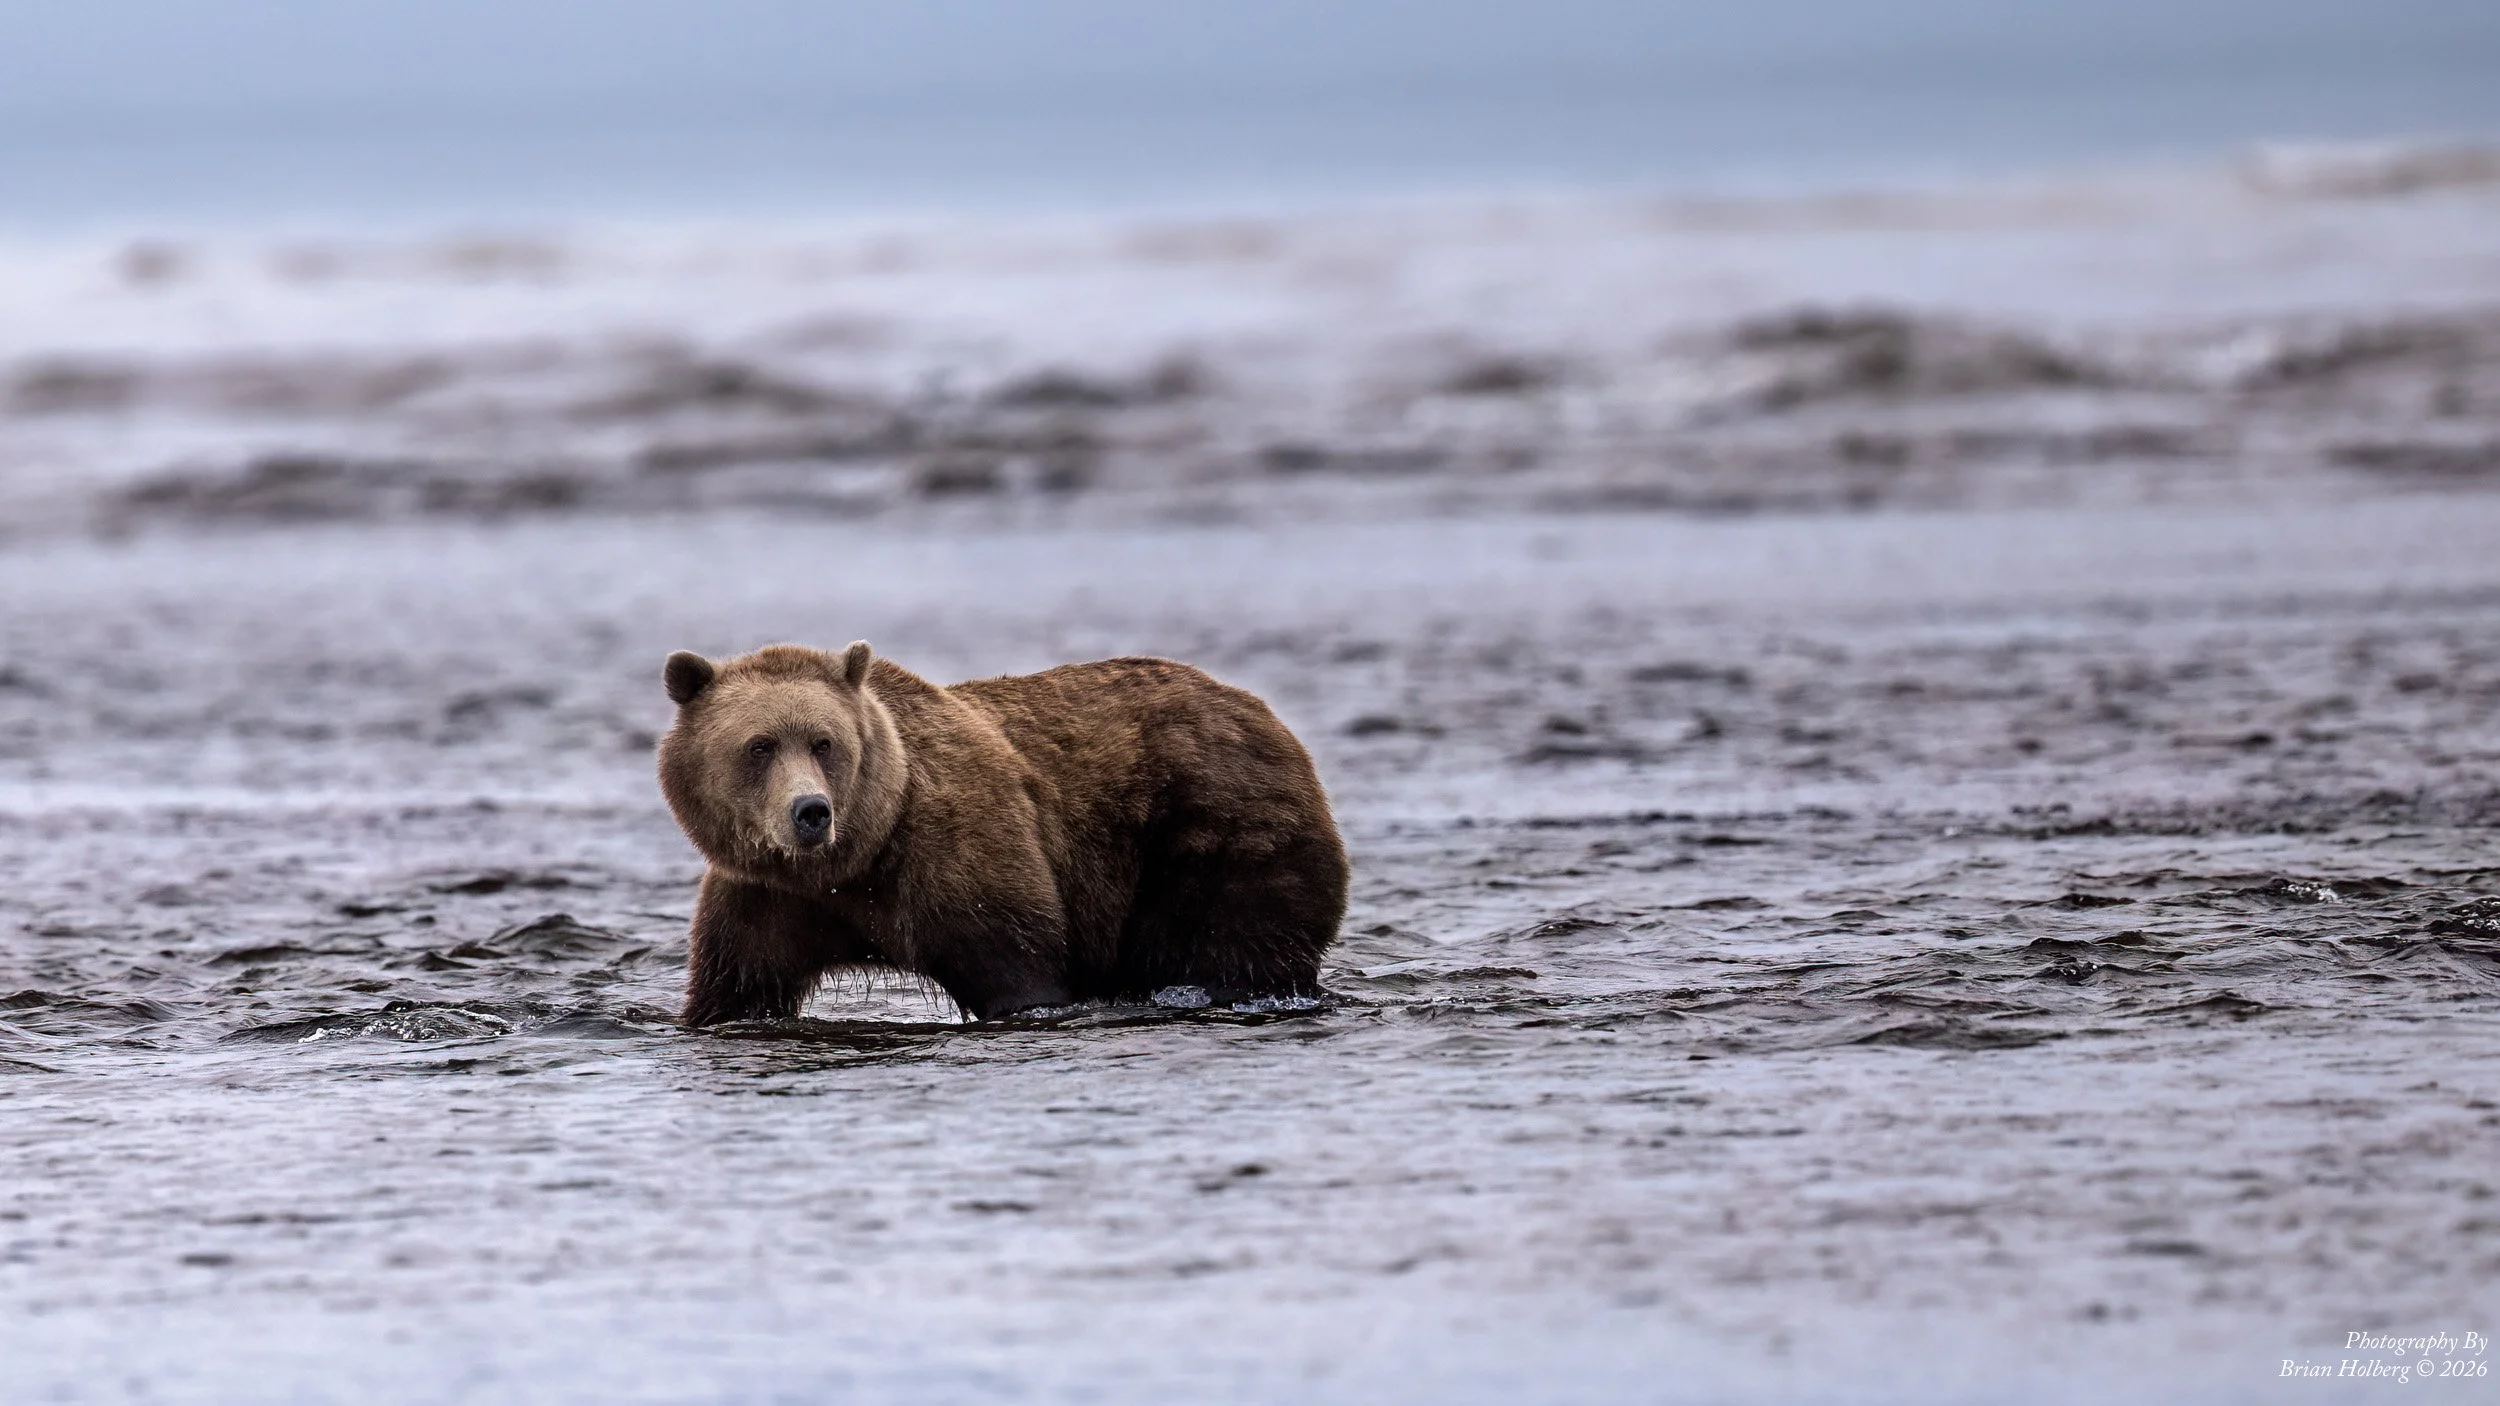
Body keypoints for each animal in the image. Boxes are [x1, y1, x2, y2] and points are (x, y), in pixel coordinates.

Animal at [656, 642, 1349, 1025]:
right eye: (760, 745)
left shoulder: (957, 854)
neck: (856, 861)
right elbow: (738, 987)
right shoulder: (764, 898)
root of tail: (1259, 709)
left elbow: (1019, 971)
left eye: (824, 742)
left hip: (1214, 824)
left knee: (1230, 939)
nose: (810, 811)